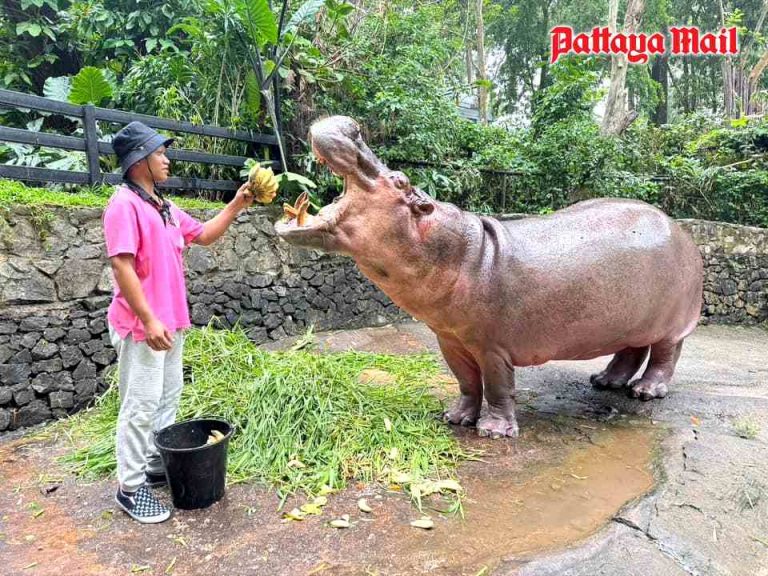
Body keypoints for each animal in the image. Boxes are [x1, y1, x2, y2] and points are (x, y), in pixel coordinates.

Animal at [274, 118, 704, 440]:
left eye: (399, 180)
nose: (351, 126)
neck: (464, 251)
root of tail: (680, 229)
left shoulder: (493, 345)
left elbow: (497, 385)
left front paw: (494, 431)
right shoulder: (450, 339)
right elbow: (466, 382)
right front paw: (455, 417)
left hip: (672, 321)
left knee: (665, 354)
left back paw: (646, 392)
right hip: (628, 320)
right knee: (631, 350)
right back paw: (604, 382)